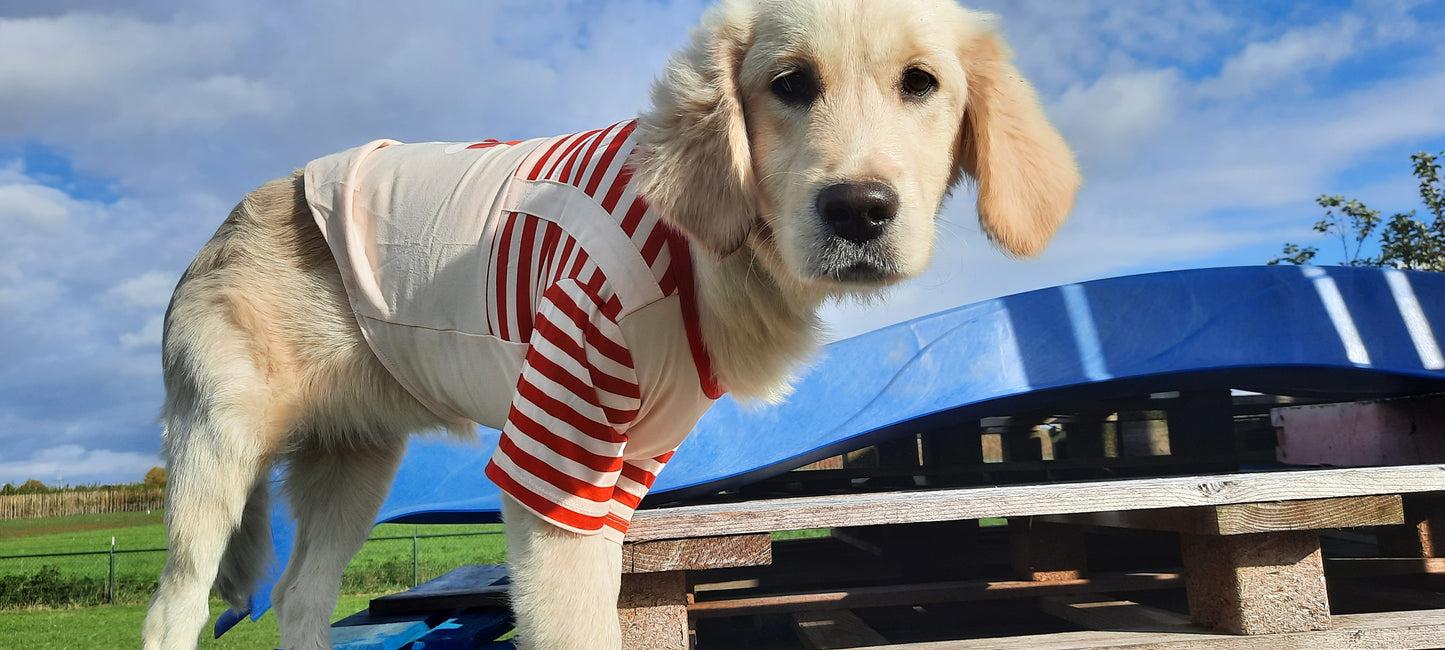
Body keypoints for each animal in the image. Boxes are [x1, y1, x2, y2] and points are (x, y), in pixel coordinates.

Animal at [140, 1, 1080, 650]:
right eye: (789, 85)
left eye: (920, 82)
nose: (858, 210)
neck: (708, 245)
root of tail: (231, 217)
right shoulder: (558, 466)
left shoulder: (620, 473)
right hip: (217, 452)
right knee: (171, 609)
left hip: (354, 466)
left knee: (298, 599)